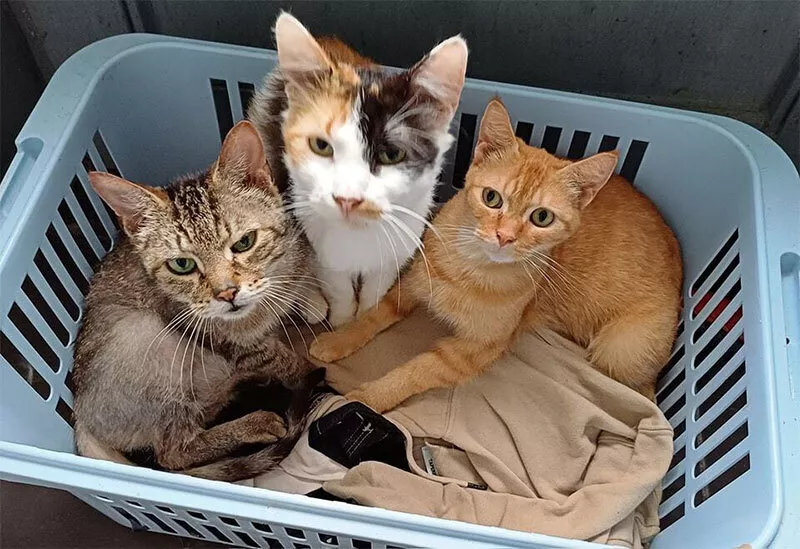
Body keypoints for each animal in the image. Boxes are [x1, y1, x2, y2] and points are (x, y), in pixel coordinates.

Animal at [72, 121, 326, 480]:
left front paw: (310, 298)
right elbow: (286, 362)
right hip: (146, 338)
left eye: (244, 242)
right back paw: (256, 423)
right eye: (182, 264)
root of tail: (80, 412)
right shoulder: (241, 346)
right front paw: (309, 372)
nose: (227, 293)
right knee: (173, 453)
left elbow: (302, 271)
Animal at [247, 13, 466, 326]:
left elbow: (376, 287)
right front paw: (341, 321)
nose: (347, 199)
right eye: (321, 146)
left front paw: (363, 319)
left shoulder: (400, 244)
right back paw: (312, 304)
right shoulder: (320, 247)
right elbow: (337, 285)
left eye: (392, 154)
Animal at [310, 98, 680, 412]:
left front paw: (368, 397)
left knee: (643, 390)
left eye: (541, 217)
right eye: (491, 198)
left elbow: (416, 371)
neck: (469, 269)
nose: (505, 236)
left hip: (619, 349)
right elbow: (373, 316)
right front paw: (335, 341)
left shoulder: (471, 350)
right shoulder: (411, 286)